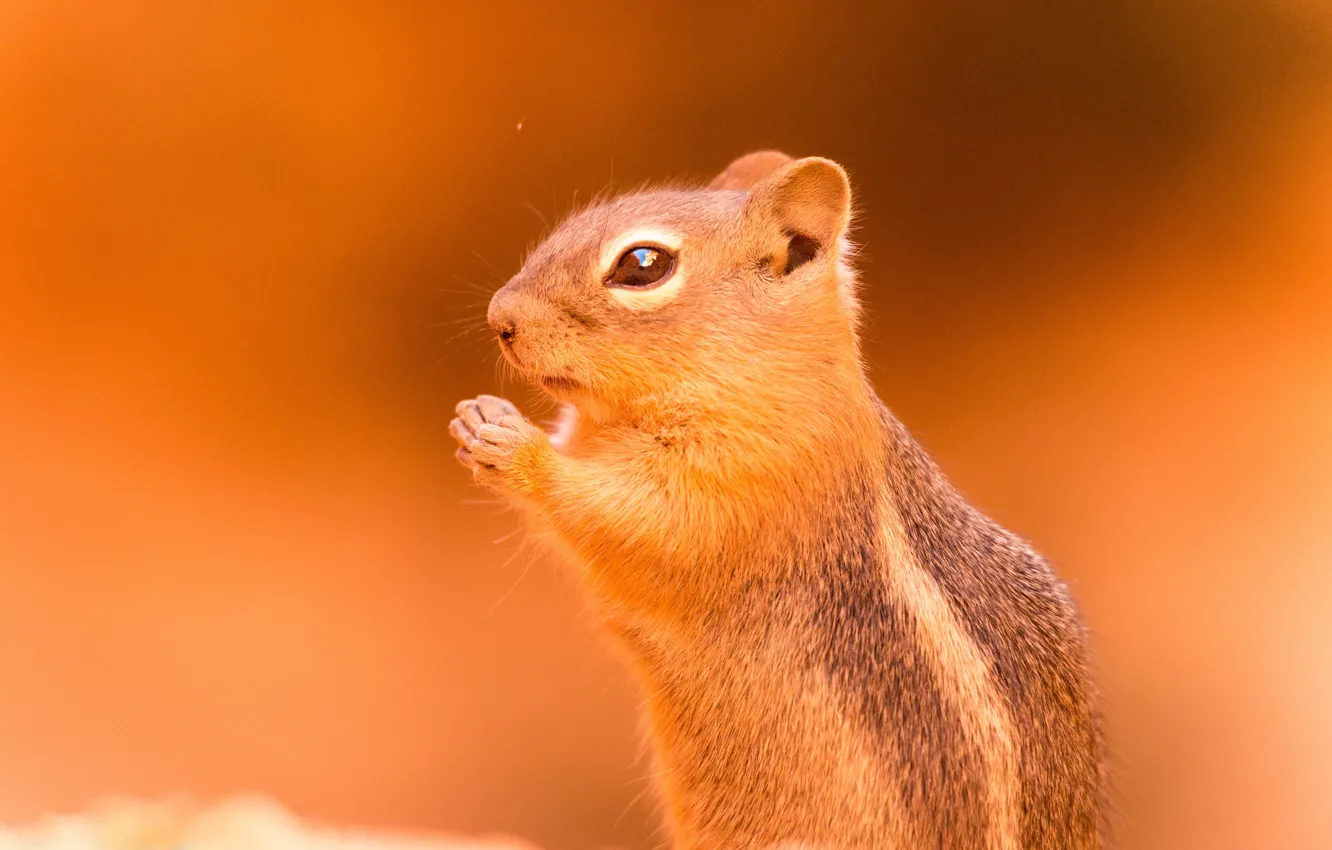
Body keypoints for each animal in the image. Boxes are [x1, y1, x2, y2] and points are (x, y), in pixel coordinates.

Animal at [449, 151, 1108, 849]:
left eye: (643, 264)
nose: (499, 319)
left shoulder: (741, 482)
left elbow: (635, 518)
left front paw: (519, 449)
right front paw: (480, 417)